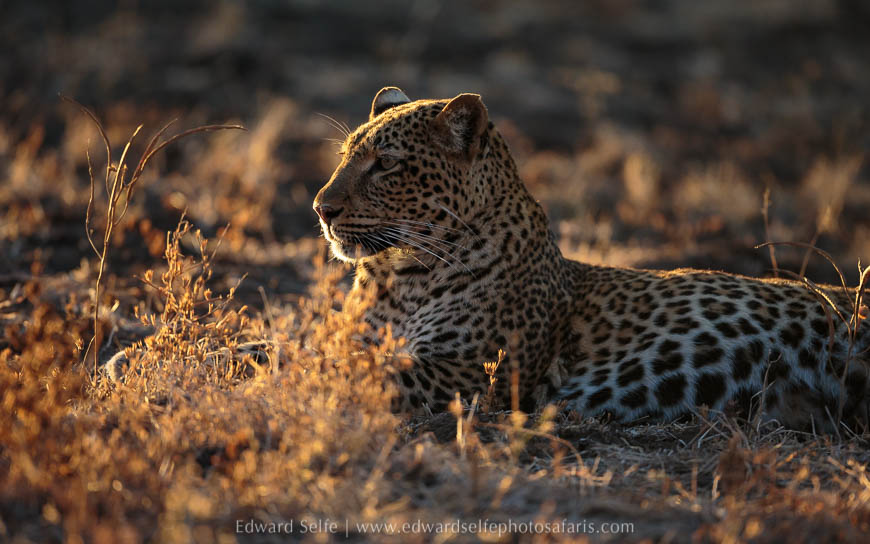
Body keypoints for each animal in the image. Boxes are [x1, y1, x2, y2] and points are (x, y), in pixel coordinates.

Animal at [312, 86, 870, 432]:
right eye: (344, 157)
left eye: (385, 164)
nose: (321, 208)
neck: (397, 275)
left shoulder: (470, 372)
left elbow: (363, 369)